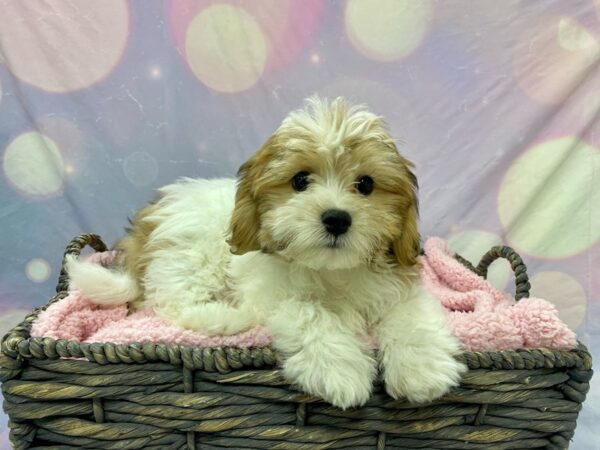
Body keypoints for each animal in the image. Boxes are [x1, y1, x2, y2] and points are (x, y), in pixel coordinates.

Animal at [68, 96, 466, 410]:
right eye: (300, 180)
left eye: (366, 184)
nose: (337, 218)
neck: (331, 270)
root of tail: (148, 221)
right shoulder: (275, 297)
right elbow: (310, 315)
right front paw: (341, 370)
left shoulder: (396, 282)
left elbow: (409, 316)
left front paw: (423, 371)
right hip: (193, 256)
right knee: (168, 306)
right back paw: (224, 318)